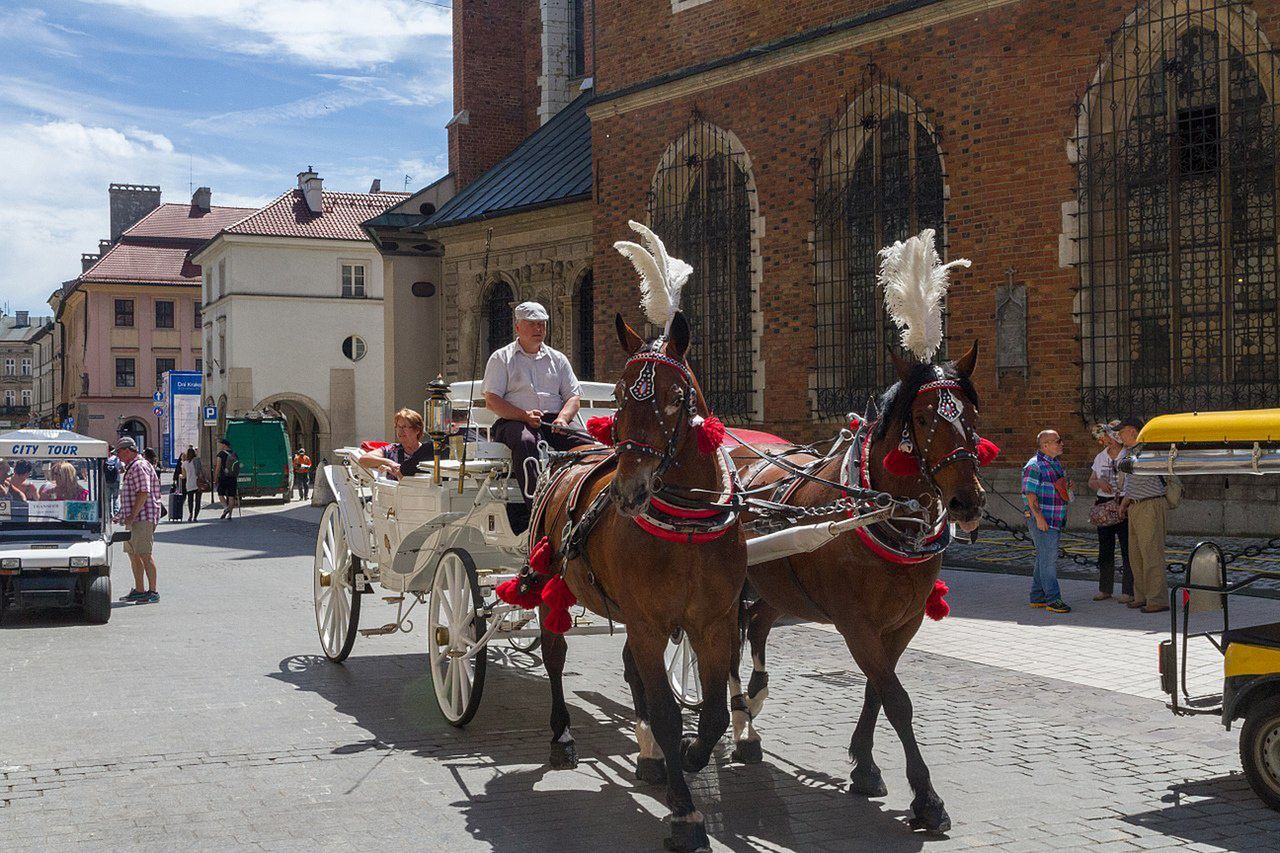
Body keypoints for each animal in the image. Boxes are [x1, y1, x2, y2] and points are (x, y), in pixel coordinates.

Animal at [532, 312, 747, 850]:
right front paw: (685, 814)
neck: (687, 524)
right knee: (554, 657)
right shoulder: (649, 623)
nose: (629, 490)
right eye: (620, 394)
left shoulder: (714, 623)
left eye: (677, 396)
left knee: (632, 671)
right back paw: (562, 737)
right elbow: (669, 713)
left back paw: (649, 758)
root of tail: (569, 455)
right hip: (548, 585)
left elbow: (713, 712)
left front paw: (688, 757)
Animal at [727, 340, 983, 829]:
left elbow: (876, 690)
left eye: (973, 417)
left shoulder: (902, 624)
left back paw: (755, 698)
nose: (967, 501)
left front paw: (864, 767)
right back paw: (740, 726)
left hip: (781, 588)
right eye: (923, 419)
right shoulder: (857, 625)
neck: (883, 513)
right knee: (725, 645)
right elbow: (897, 700)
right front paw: (927, 798)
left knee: (758, 623)